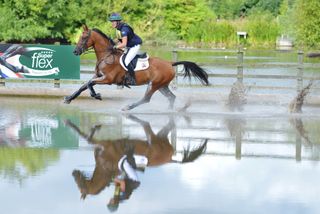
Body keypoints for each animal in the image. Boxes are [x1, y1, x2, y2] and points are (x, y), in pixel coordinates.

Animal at [64, 25, 210, 110]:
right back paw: (170, 111)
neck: (107, 55)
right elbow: (84, 85)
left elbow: (89, 84)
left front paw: (96, 95)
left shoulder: (108, 79)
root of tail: (169, 63)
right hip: (162, 85)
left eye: (84, 37)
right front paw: (69, 98)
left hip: (154, 84)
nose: (75, 52)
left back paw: (128, 107)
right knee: (171, 97)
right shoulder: (98, 76)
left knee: (146, 99)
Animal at [65, 115, 209, 201]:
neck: (105, 167)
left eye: (80, 186)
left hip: (155, 138)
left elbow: (86, 137)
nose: (74, 173)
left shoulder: (104, 144)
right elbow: (87, 136)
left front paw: (71, 123)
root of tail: (170, 159)